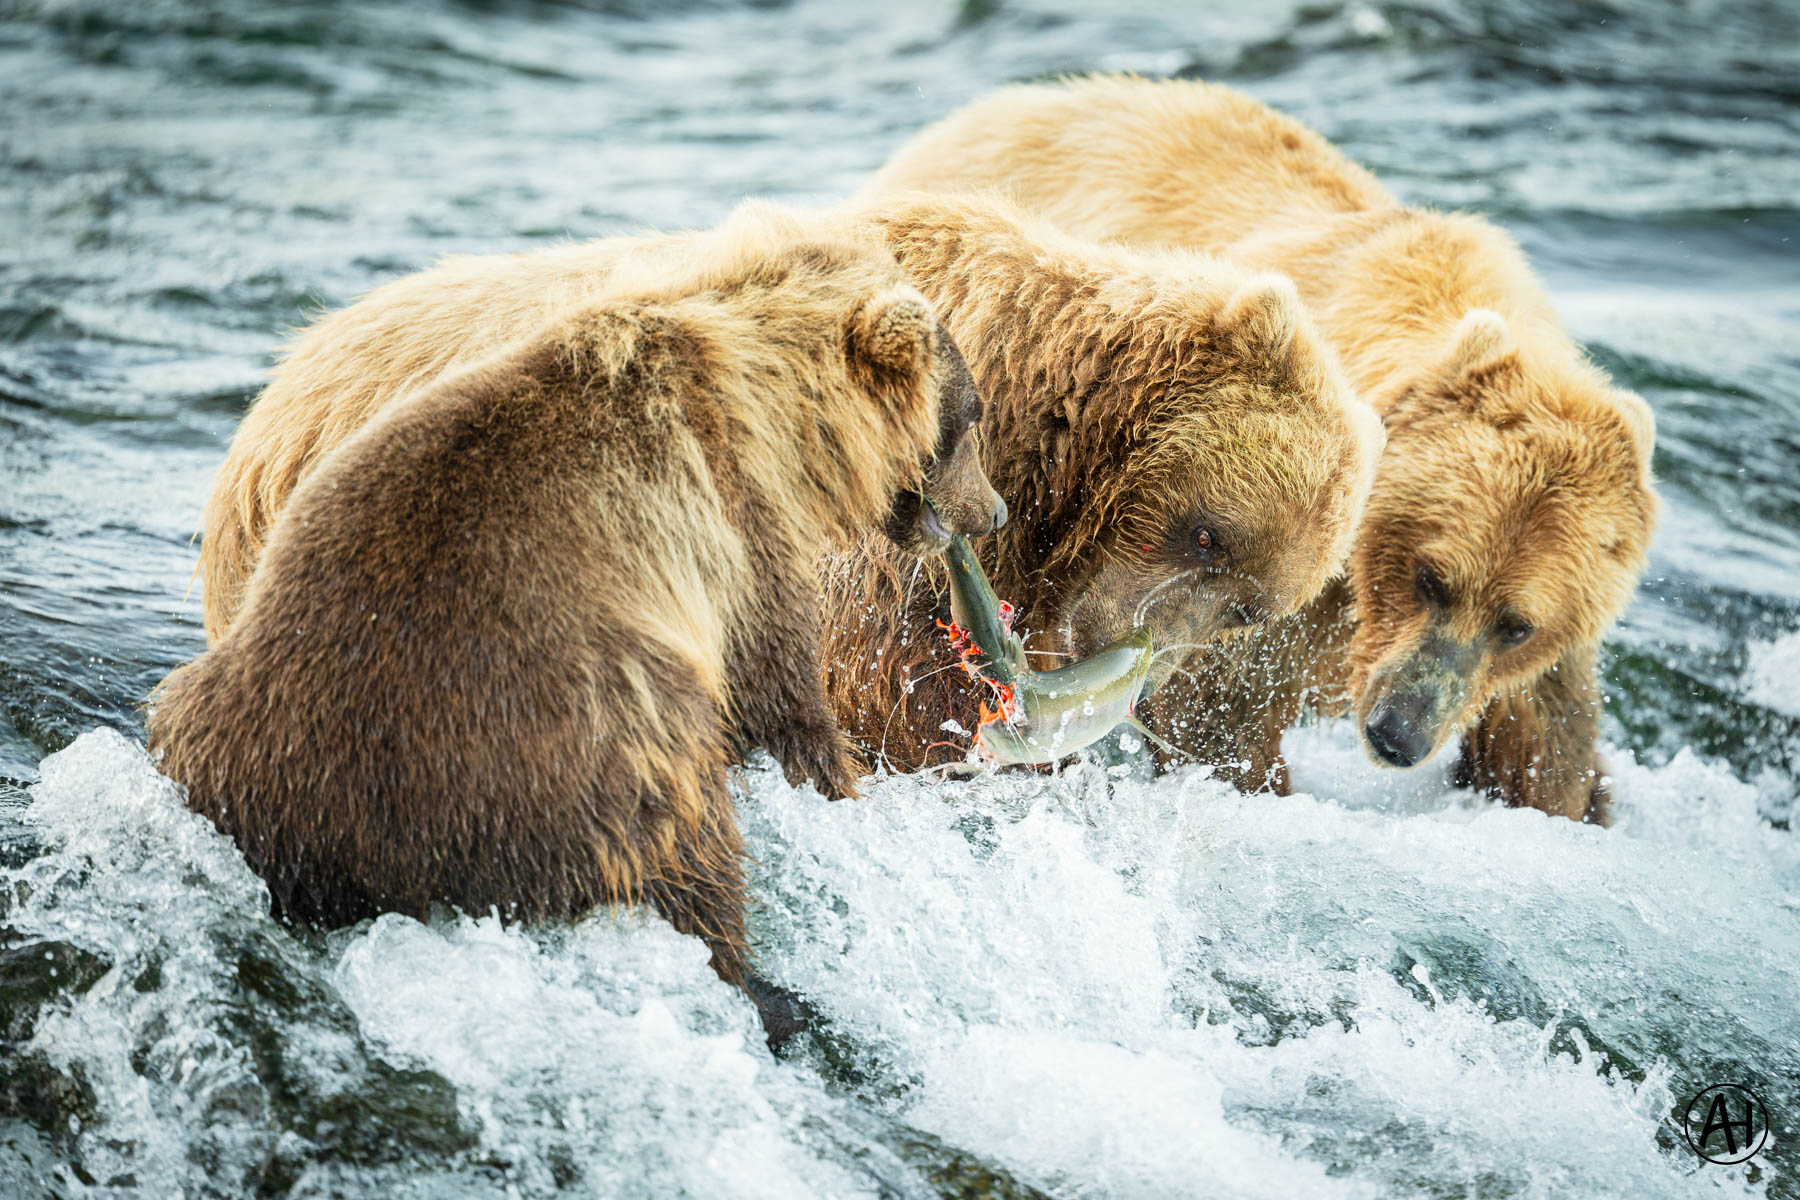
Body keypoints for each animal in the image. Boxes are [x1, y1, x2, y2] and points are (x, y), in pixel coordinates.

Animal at [149, 202, 1005, 990]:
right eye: (969, 416)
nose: (991, 512)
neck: (776, 404)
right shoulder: (731, 525)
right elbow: (778, 692)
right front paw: (841, 782)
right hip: (587, 732)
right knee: (683, 850)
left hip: (225, 728)